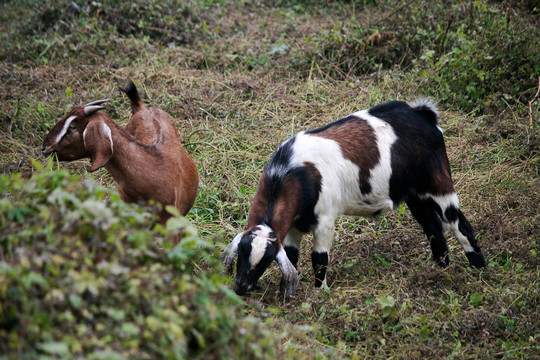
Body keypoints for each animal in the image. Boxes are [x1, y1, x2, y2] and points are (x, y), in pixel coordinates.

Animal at [221, 99, 488, 298]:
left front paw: (319, 294)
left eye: (265, 260)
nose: (241, 287)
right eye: (242, 253)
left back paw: (480, 271)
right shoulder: (293, 225)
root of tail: (422, 115)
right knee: (433, 228)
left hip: (437, 182)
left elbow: (319, 258)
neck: (289, 170)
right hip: (414, 195)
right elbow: (292, 256)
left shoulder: (325, 219)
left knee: (458, 223)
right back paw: (441, 270)